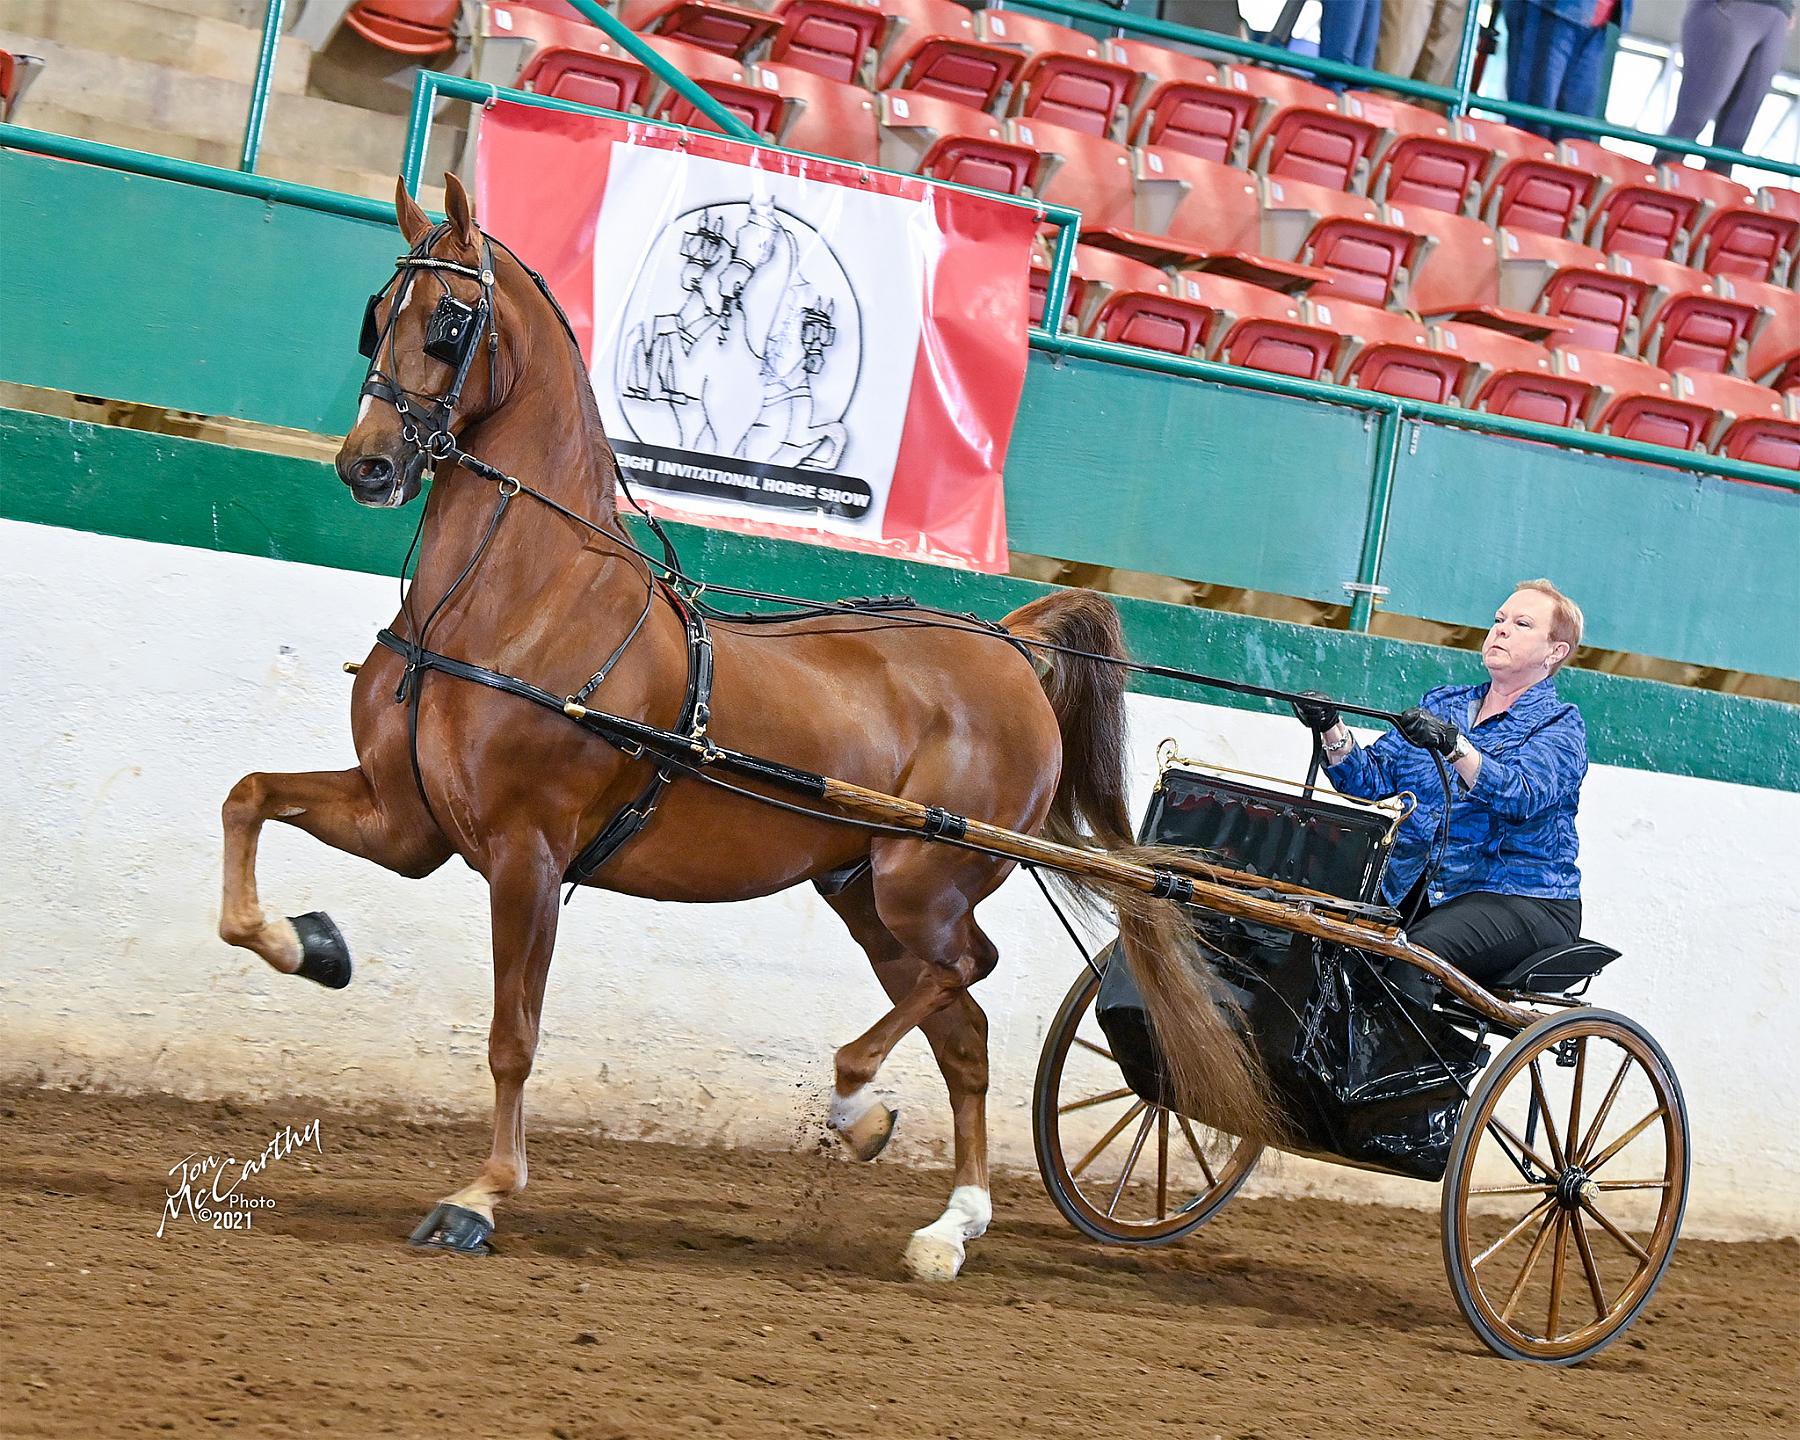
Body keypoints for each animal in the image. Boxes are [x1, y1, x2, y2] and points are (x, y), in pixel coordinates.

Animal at [218, 174, 1273, 1278]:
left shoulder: (526, 854)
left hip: (922, 883)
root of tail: (1007, 644)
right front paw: (307, 944)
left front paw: (480, 1196)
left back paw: (856, 1100)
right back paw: (947, 1222)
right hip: (865, 892)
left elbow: (514, 1034)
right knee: (966, 1032)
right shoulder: (408, 823)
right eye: (378, 315)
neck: (509, 602)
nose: (368, 466)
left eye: (449, 322)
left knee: (964, 976)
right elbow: (247, 799)